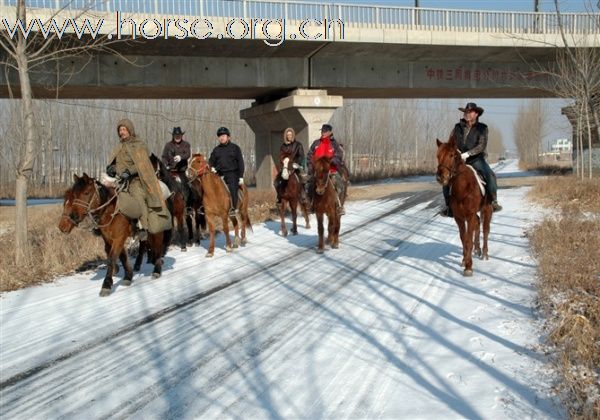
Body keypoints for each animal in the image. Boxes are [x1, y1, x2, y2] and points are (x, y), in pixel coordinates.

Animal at [436, 136, 492, 278]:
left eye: (451, 155)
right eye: (437, 155)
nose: (440, 177)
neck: (462, 188)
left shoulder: (470, 215)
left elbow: (468, 239)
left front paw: (468, 267)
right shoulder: (459, 218)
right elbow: (464, 239)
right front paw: (464, 260)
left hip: (487, 209)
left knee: (485, 230)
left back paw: (484, 253)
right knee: (478, 225)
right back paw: (477, 250)